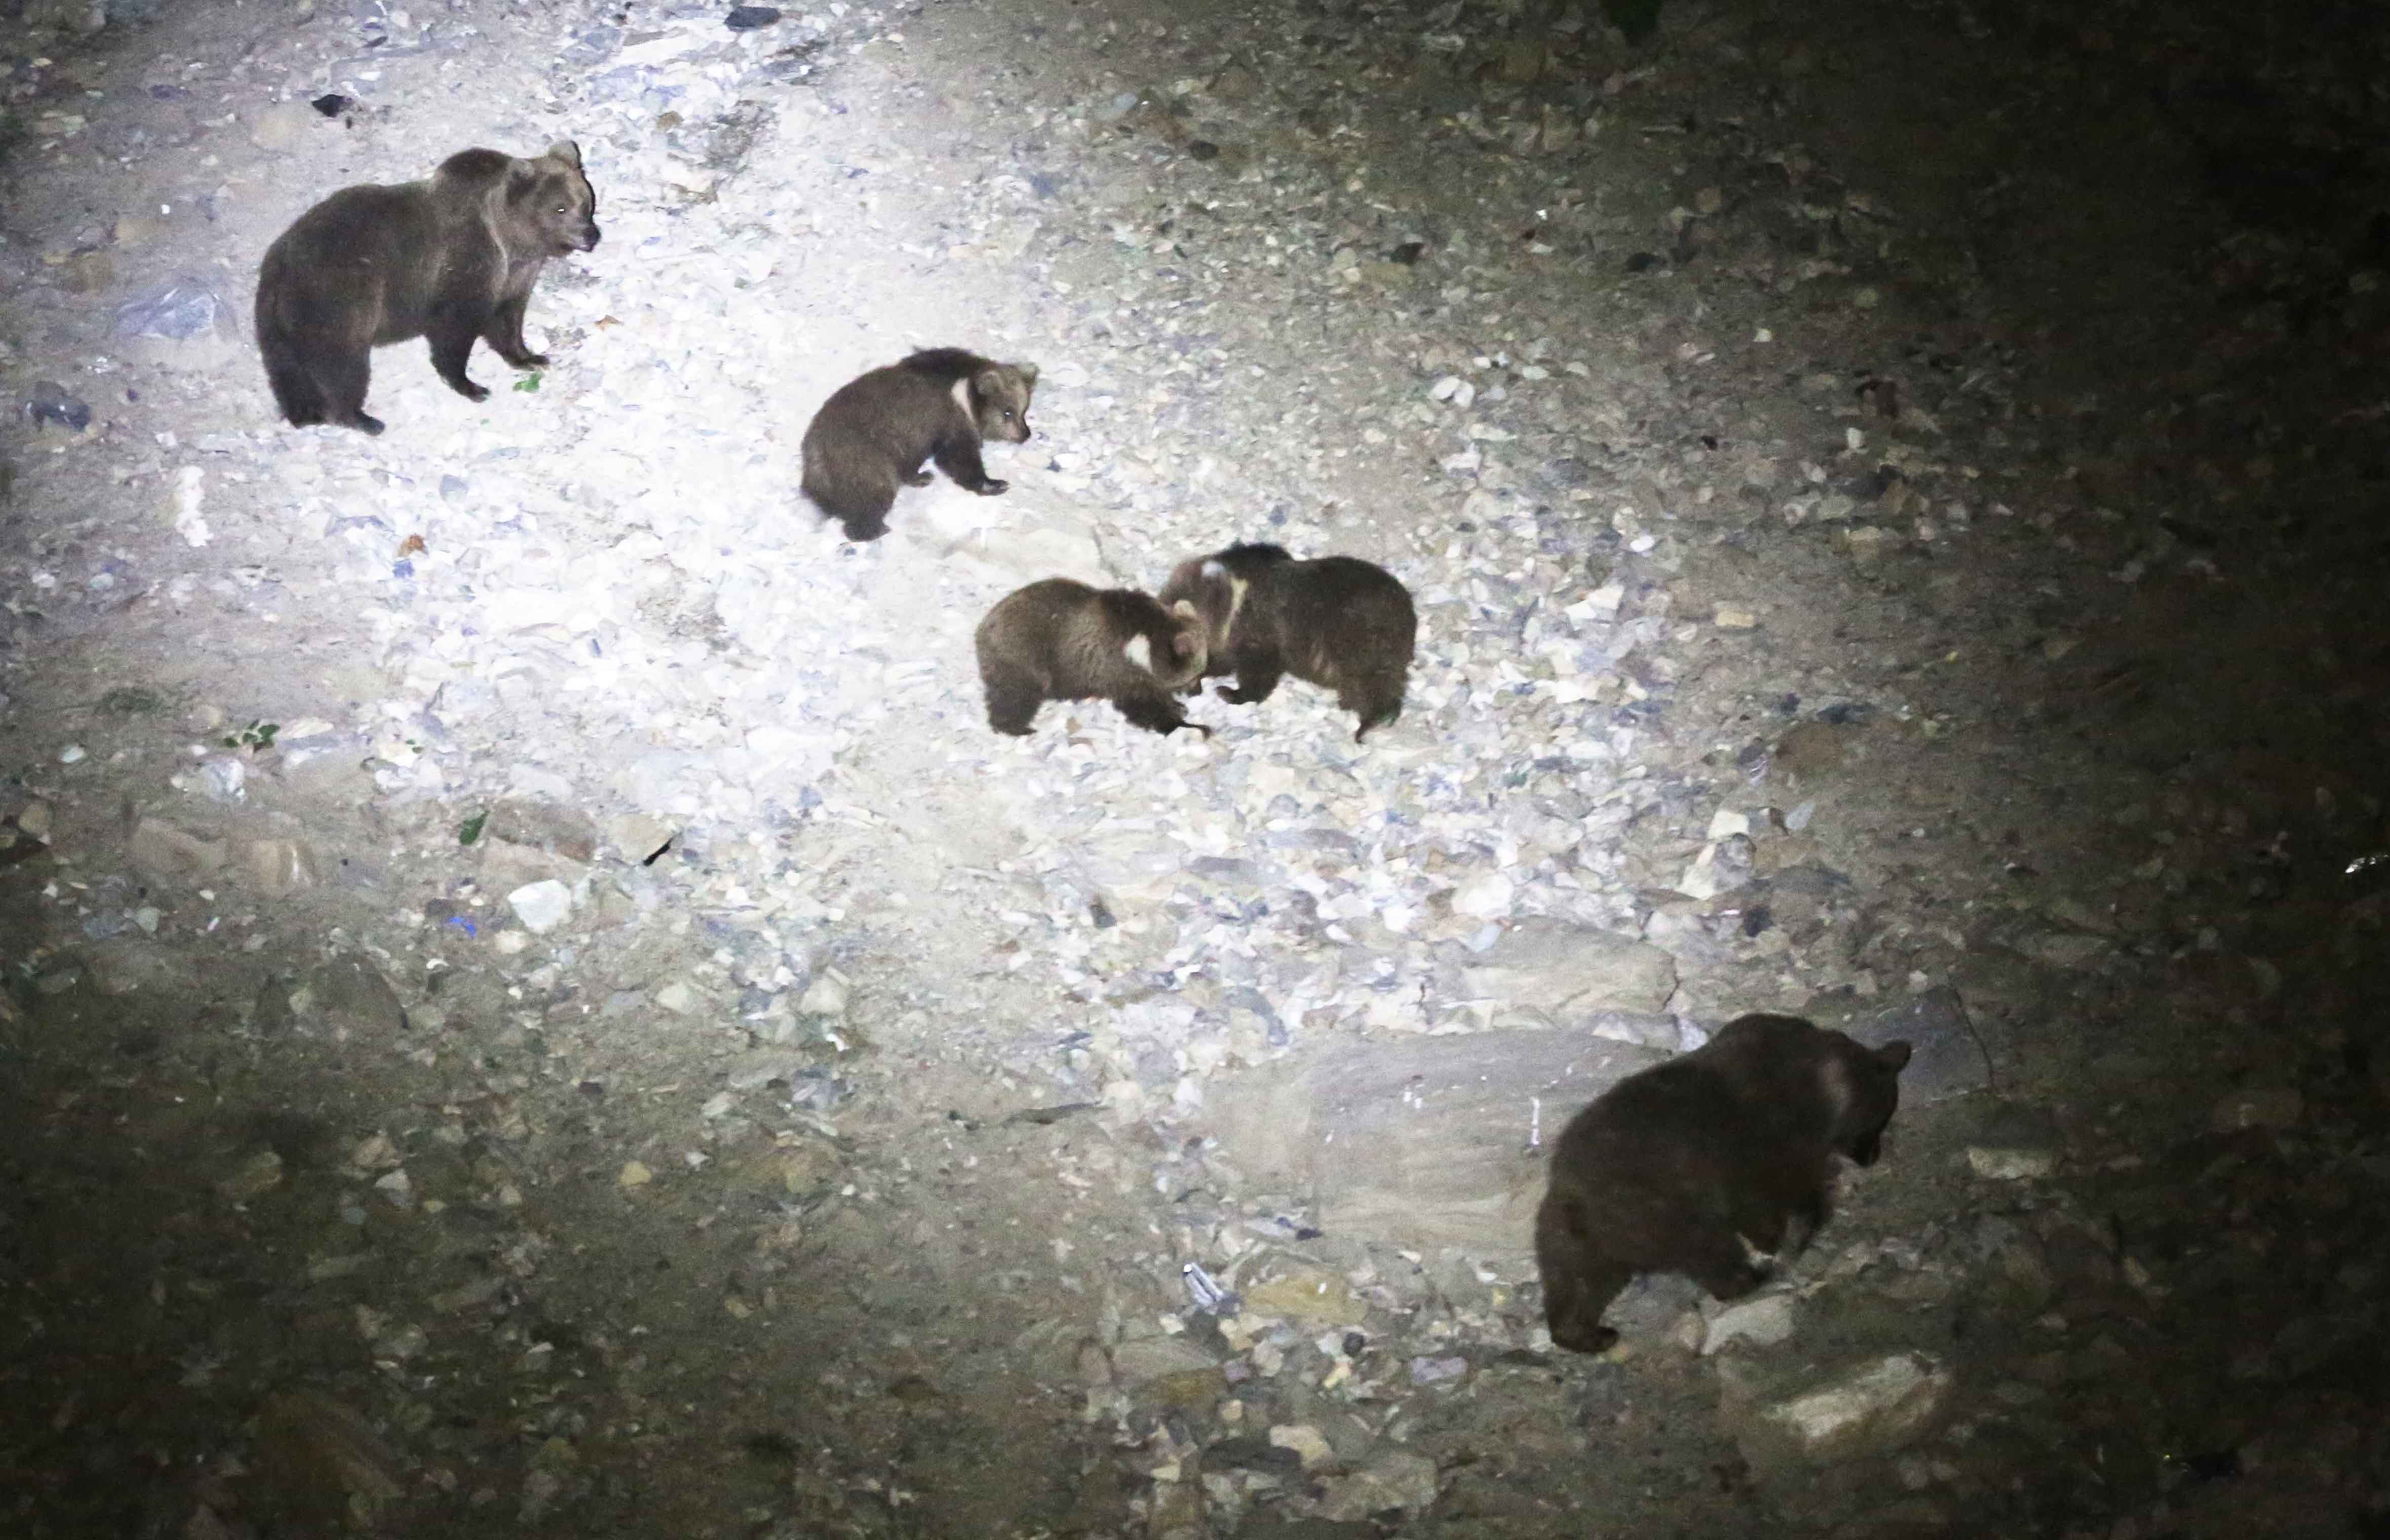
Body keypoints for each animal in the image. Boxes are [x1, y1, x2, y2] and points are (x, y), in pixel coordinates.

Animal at [251, 140, 602, 433]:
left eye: (586, 203)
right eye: (560, 208)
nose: (591, 235)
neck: (512, 240)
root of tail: (278, 263)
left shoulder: (514, 275)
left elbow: (507, 318)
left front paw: (530, 358)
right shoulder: (465, 262)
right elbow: (455, 328)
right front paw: (472, 385)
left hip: (279, 321)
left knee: (286, 368)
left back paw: (303, 413)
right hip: (339, 297)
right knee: (341, 363)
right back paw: (361, 418)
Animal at [803, 349, 1037, 540]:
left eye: (1024, 409)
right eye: (1008, 412)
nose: (1025, 434)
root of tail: (814, 452)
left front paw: (922, 476)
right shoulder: (947, 422)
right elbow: (959, 458)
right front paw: (995, 484)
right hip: (863, 459)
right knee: (874, 494)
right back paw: (876, 529)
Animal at [970, 583, 1204, 741]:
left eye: (1201, 672)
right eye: (1196, 675)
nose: (1198, 691)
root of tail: (984, 625)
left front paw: (1178, 707)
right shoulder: (1117, 666)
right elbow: (1142, 702)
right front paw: (1181, 723)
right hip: (1024, 655)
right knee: (1015, 695)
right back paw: (1018, 728)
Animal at [1157, 545, 1415, 741]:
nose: (1191, 692)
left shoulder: (1262, 636)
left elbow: (1258, 675)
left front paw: (1231, 693)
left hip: (1363, 642)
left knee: (1374, 682)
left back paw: (1370, 721)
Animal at [1539, 1018, 1912, 1358]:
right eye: (1878, 1120)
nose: (1872, 1157)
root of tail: (1583, 1204)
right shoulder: (1760, 1147)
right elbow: (1779, 1195)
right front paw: (1788, 1237)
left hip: (1569, 1236)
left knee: (1575, 1284)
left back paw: (1591, 1335)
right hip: (1663, 1208)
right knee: (1708, 1251)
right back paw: (1747, 1279)